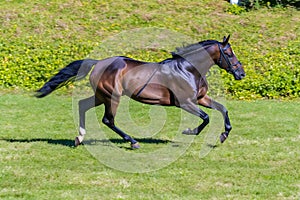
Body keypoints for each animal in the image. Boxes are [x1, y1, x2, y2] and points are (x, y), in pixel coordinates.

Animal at [36, 35, 245, 148]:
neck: (188, 69)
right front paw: (189, 131)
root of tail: (98, 62)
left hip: (101, 95)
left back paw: (79, 138)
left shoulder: (201, 98)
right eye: (229, 53)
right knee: (108, 120)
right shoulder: (185, 103)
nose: (241, 73)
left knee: (82, 105)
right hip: (112, 96)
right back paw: (132, 141)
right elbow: (206, 118)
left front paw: (224, 135)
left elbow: (222, 109)